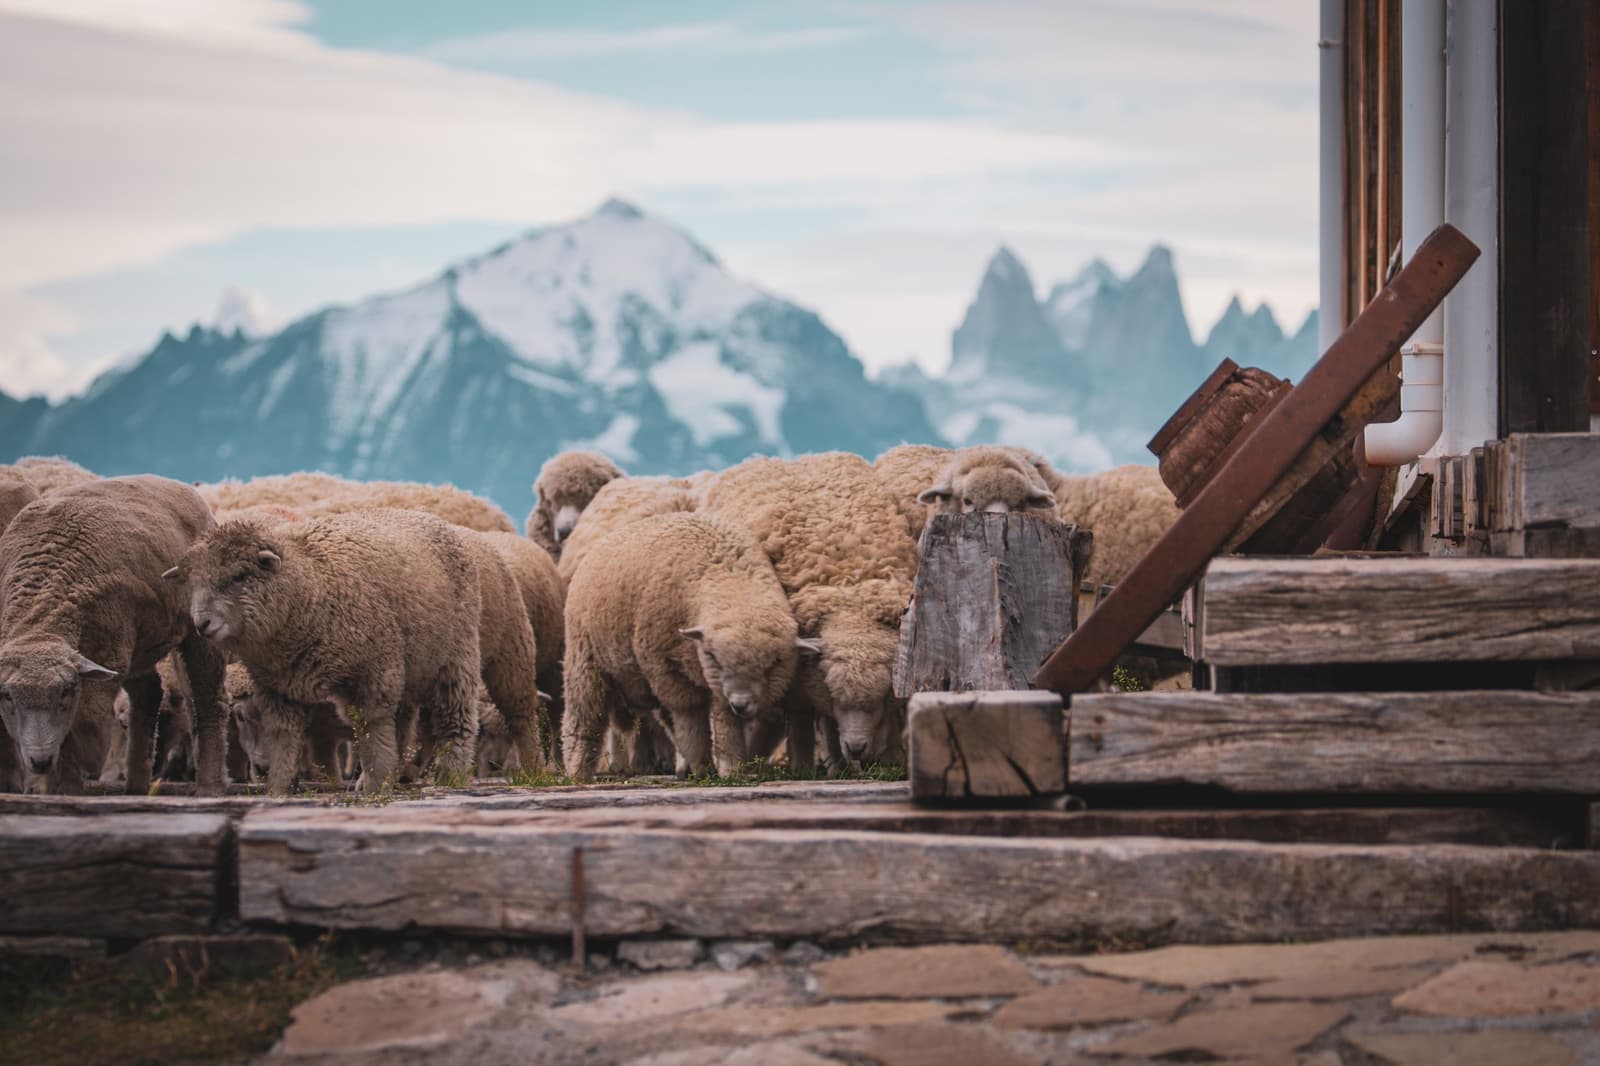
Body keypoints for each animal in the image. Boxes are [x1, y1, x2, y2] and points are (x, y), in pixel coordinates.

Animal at [0, 476, 227, 794]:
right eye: (7, 696)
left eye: (65, 692)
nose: (40, 761)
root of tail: (175, 483)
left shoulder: (107, 656)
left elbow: (79, 725)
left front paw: (72, 781)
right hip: (139, 641)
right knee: (149, 691)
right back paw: (136, 783)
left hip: (196, 629)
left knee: (208, 700)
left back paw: (209, 785)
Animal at [169, 508, 482, 794]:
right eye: (192, 582)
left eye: (239, 575)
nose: (201, 623)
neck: (311, 585)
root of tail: (429, 517)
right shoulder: (277, 687)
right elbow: (284, 740)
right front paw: (277, 789)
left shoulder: (375, 671)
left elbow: (372, 731)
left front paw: (376, 788)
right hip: (406, 667)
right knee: (402, 723)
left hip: (455, 658)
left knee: (456, 719)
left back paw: (450, 775)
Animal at [562, 513, 812, 781]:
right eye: (714, 656)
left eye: (774, 663)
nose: (741, 704)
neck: (729, 575)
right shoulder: (669, 669)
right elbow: (690, 716)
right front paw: (704, 767)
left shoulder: (717, 682)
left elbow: (722, 719)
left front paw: (731, 769)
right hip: (585, 660)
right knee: (585, 717)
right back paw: (577, 771)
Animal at [704, 452, 916, 770]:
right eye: (834, 693)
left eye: (881, 696)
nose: (857, 748)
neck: (850, 597)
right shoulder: (801, 676)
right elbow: (805, 719)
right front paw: (808, 763)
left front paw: (887, 759)